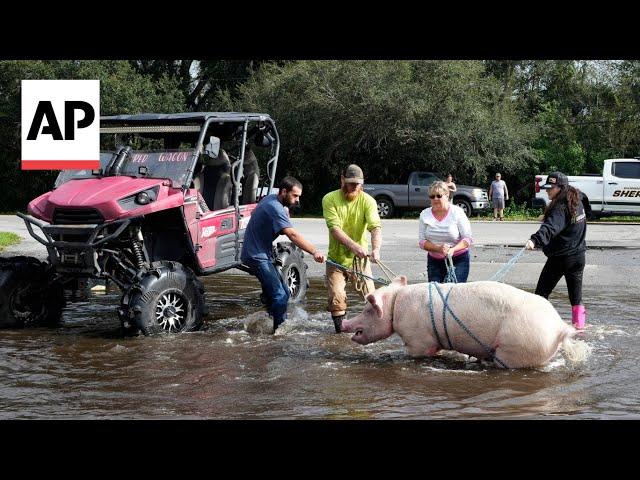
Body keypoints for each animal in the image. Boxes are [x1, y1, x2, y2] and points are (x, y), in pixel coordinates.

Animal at [340, 278, 592, 368]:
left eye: (367, 309)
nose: (344, 324)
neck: (396, 305)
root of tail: (559, 328)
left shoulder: (418, 340)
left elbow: (416, 353)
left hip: (517, 347)